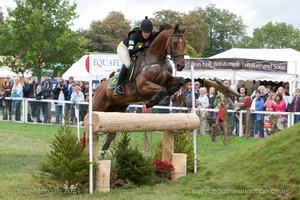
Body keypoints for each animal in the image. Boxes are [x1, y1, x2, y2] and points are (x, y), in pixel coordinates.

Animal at [85, 23, 188, 156]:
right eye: (174, 43)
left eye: (184, 43)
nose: (181, 66)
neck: (156, 59)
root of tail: (99, 86)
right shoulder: (143, 86)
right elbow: (162, 90)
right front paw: (151, 102)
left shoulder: (167, 80)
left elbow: (180, 80)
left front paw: (173, 90)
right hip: (97, 107)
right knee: (87, 132)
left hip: (116, 111)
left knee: (111, 133)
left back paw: (103, 150)